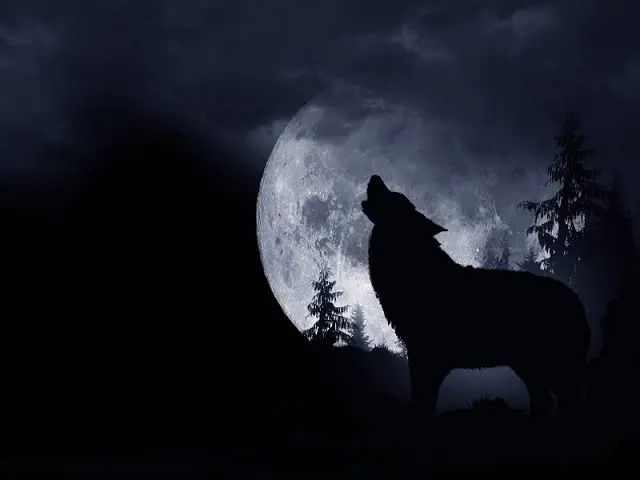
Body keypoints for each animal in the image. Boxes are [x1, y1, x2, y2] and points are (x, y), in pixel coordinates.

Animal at [361, 175, 591, 417]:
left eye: (393, 197)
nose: (375, 177)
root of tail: (576, 299)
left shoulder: (426, 358)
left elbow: (421, 403)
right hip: (529, 369)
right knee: (544, 403)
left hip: (556, 370)